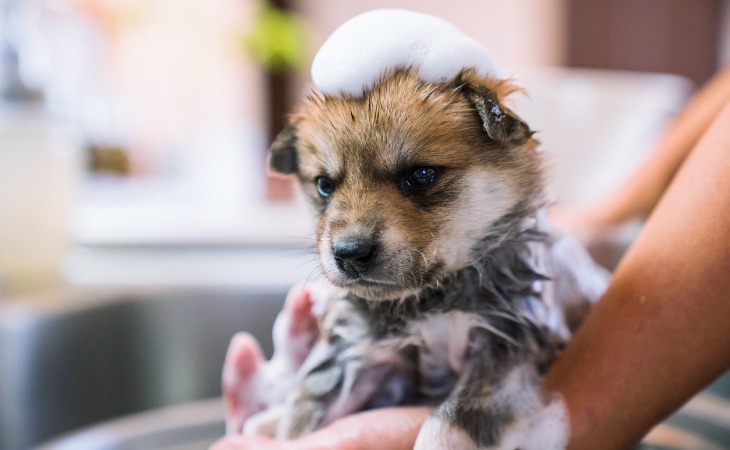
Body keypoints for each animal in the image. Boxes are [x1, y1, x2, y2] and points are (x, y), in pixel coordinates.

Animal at [225, 67, 604, 450]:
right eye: (324, 185)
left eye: (420, 175)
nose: (349, 253)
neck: (432, 302)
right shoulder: (358, 352)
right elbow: (305, 415)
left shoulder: (509, 348)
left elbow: (446, 422)